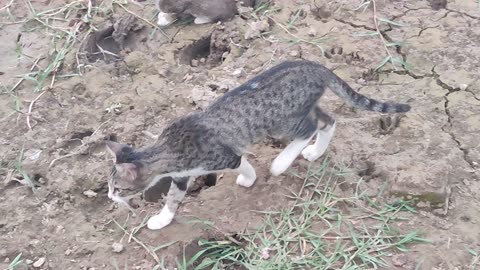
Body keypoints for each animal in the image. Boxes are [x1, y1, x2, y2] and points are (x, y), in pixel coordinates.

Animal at [103, 60, 410, 231]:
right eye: (110, 187)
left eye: (118, 188)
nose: (109, 197)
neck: (167, 148)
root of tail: (316, 67)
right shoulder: (181, 175)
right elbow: (173, 199)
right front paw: (162, 219)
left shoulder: (224, 157)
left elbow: (243, 165)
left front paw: (248, 179)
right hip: (301, 110)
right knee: (327, 120)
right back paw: (315, 151)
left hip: (282, 123)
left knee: (310, 128)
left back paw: (281, 163)